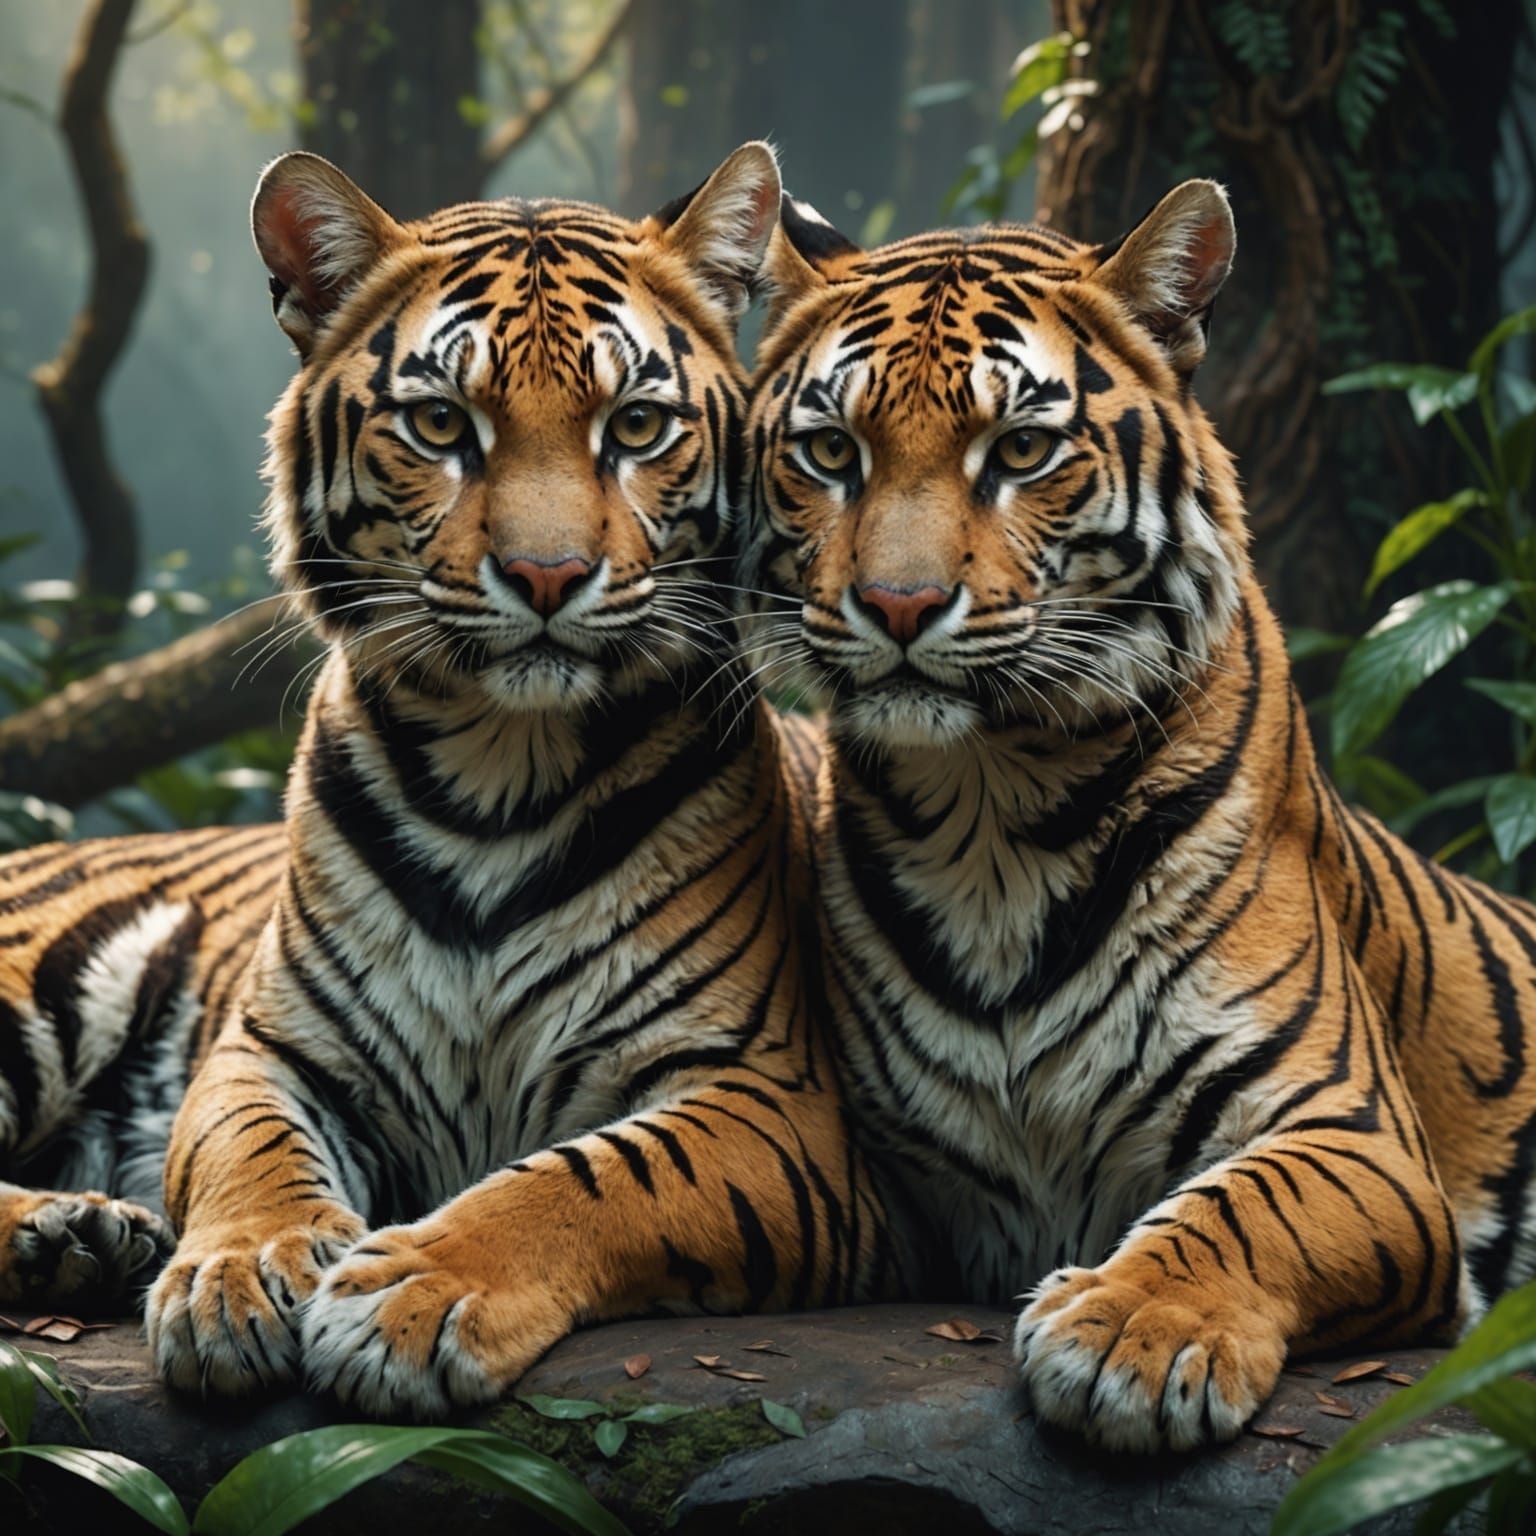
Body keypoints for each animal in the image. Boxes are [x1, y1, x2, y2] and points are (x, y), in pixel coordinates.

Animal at [0, 143, 895, 1416]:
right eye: (439, 423)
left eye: (635, 425)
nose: (547, 574)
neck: (495, 770)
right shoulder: (266, 1048)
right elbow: (252, 1156)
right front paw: (239, 1275)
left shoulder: (773, 1096)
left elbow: (593, 1178)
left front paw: (412, 1295)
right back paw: (72, 1230)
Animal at [742, 179, 1536, 1453]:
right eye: (831, 452)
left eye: (1020, 449)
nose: (899, 605)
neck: (987, 813)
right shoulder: (864, 1172)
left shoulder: (1352, 1132)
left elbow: (1247, 1206)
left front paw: (1131, 1336)